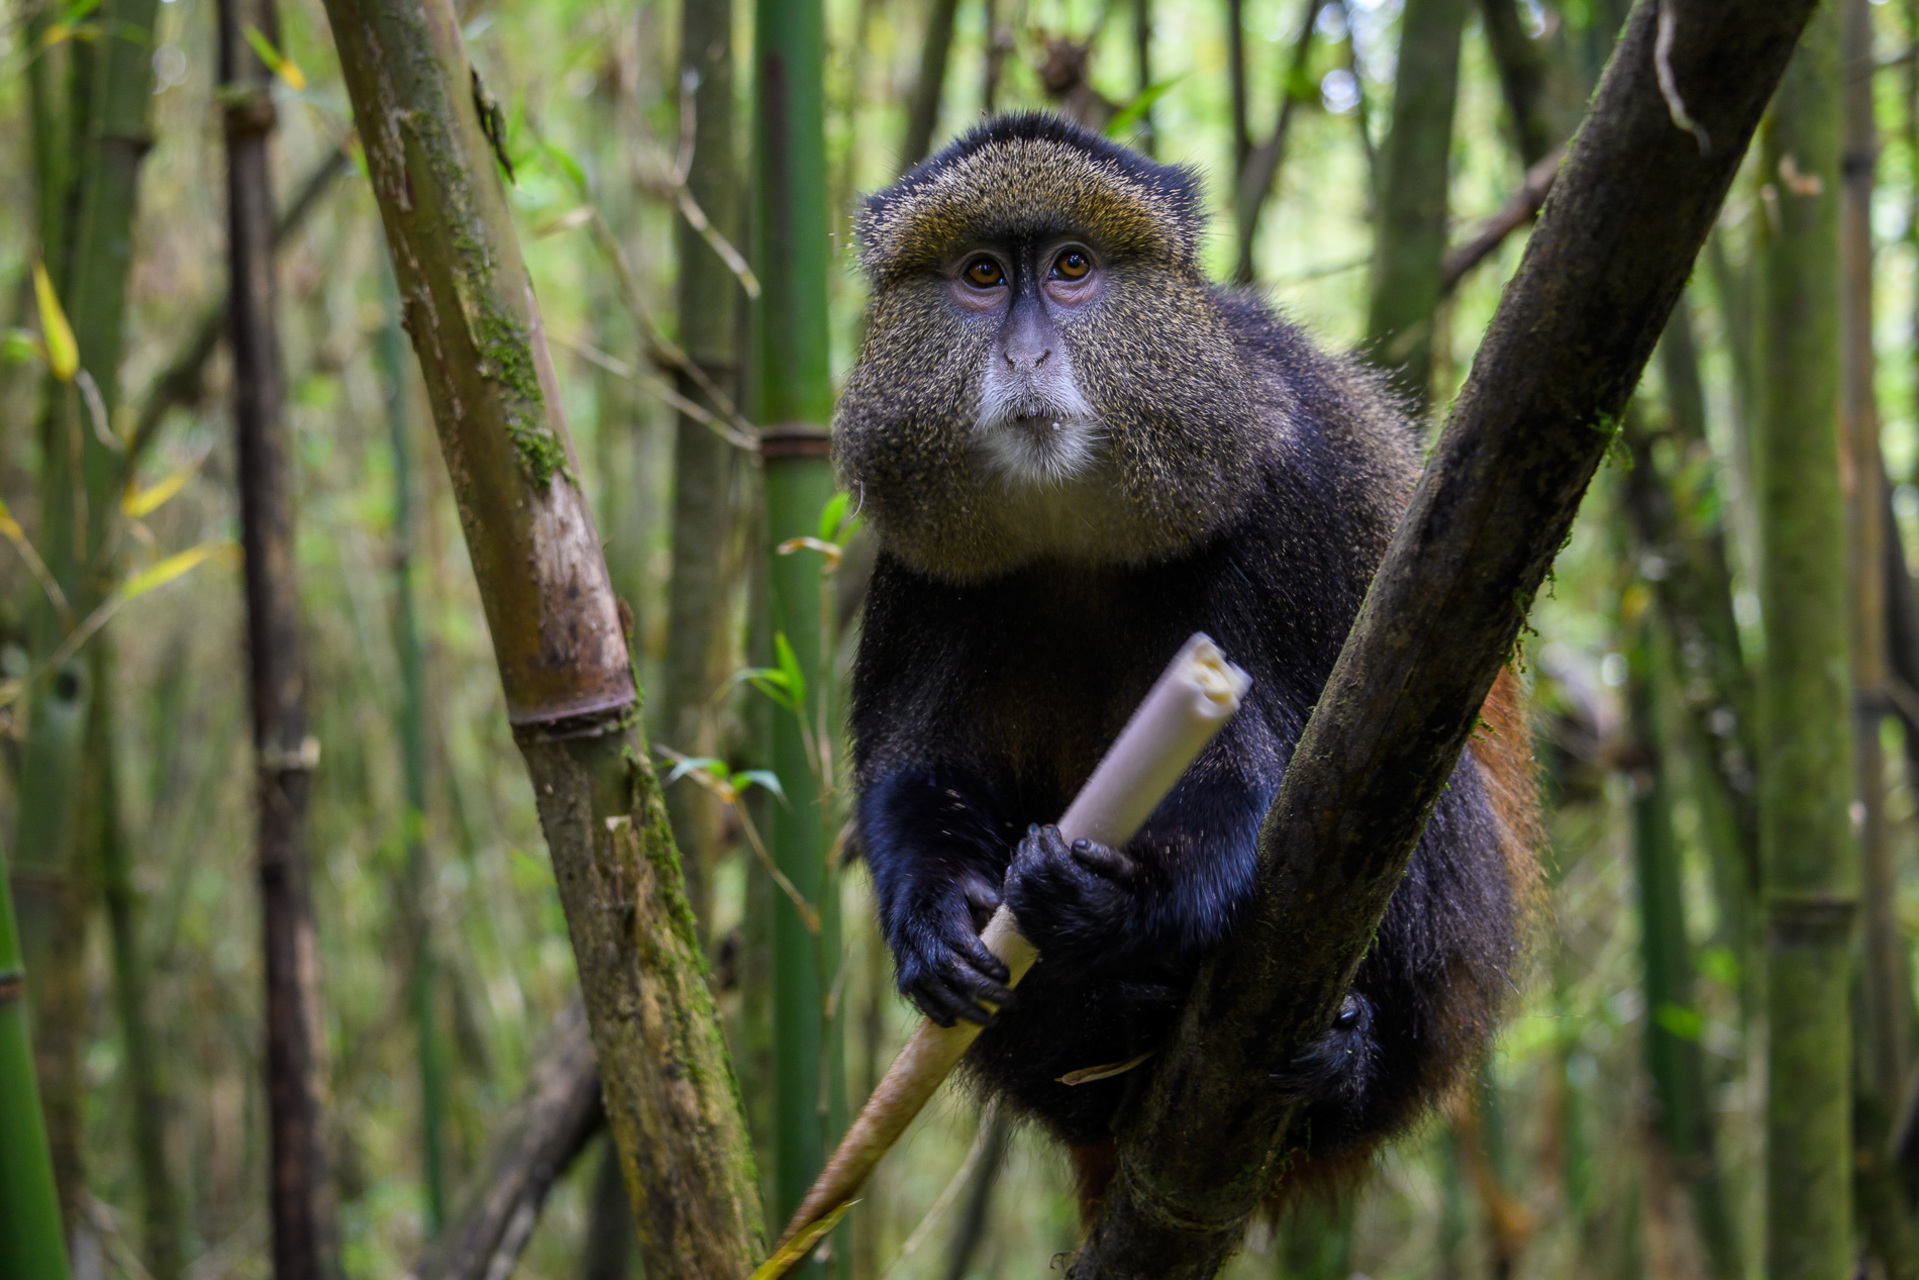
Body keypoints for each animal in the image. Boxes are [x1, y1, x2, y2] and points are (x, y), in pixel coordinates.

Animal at [835, 114, 1537, 1221]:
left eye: (1071, 268)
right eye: (981, 274)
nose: (1027, 351)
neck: (1074, 529)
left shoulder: (1287, 491)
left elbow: (1277, 788)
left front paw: (1114, 904)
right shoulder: (917, 562)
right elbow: (916, 768)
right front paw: (937, 918)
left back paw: (1338, 1063)